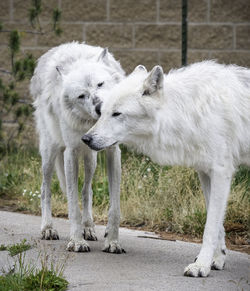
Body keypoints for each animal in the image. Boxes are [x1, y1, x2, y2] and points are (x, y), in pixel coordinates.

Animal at [30, 42, 126, 254]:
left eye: (100, 84)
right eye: (82, 95)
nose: (100, 108)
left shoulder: (113, 152)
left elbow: (114, 207)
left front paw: (113, 242)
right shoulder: (71, 153)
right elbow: (73, 207)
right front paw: (76, 242)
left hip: (91, 160)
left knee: (86, 190)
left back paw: (88, 227)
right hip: (50, 153)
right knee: (44, 189)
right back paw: (48, 228)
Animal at [83, 60, 250, 278]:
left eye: (117, 114)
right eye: (102, 112)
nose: (85, 139)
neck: (187, 110)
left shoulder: (221, 172)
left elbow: (210, 226)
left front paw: (201, 266)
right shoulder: (206, 173)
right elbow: (216, 222)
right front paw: (217, 260)